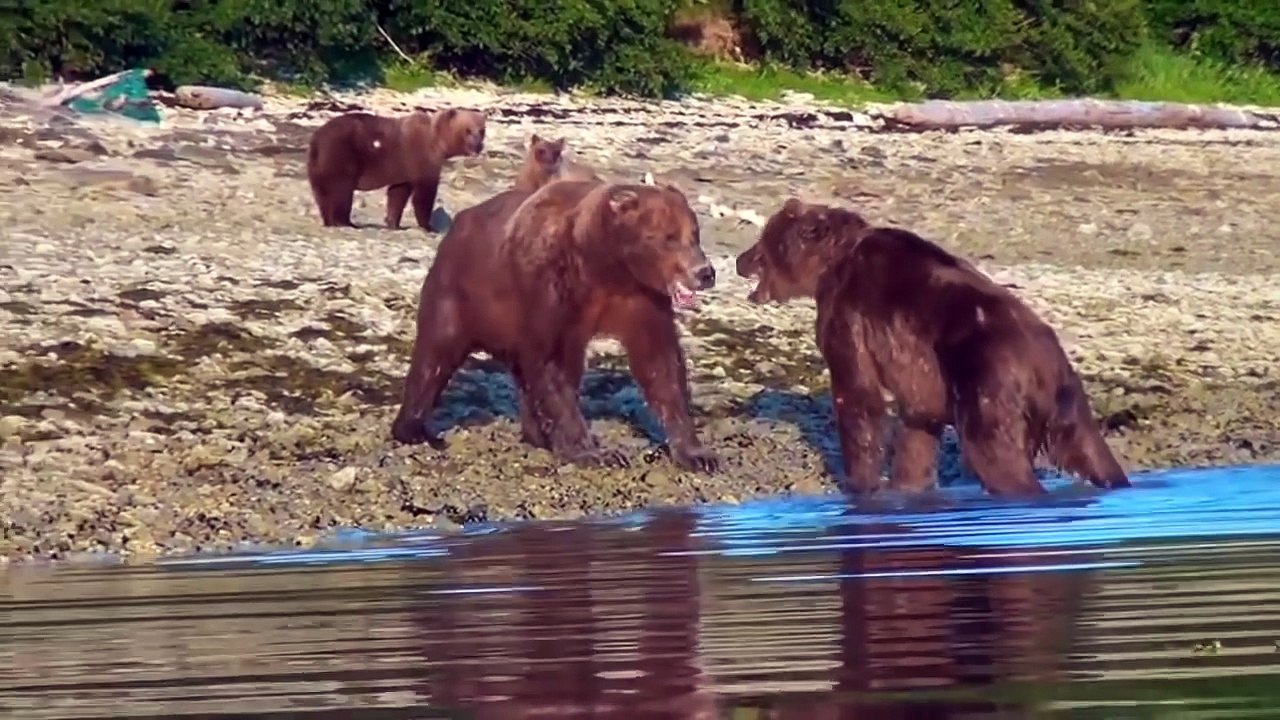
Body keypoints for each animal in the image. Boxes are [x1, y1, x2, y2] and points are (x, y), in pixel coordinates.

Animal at [306, 107, 486, 230]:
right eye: (468, 130)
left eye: (482, 130)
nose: (478, 146)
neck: (438, 143)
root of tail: (317, 138)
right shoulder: (420, 158)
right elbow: (424, 193)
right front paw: (428, 226)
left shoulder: (403, 169)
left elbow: (398, 194)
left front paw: (393, 222)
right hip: (341, 154)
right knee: (342, 190)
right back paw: (345, 222)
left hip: (317, 165)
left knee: (321, 193)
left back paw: (329, 220)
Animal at [390, 179, 720, 472]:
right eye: (668, 236)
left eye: (694, 233)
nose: (705, 272)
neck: (606, 268)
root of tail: (457, 225)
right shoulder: (551, 289)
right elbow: (553, 365)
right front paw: (595, 452)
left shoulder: (640, 299)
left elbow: (659, 363)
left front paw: (697, 454)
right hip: (459, 294)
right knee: (435, 355)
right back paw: (414, 429)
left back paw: (537, 435)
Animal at [735, 197, 1131, 497]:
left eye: (763, 239)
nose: (740, 259)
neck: (829, 264)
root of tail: (1045, 365)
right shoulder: (920, 375)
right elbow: (918, 427)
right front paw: (907, 484)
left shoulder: (847, 313)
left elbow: (858, 397)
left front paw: (861, 484)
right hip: (1069, 397)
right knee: (1089, 449)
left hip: (987, 376)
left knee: (995, 452)